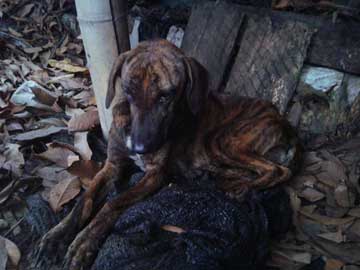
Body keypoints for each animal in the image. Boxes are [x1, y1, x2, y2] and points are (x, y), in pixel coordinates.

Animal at [35, 39, 300, 268]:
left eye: (166, 96)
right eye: (128, 91)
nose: (139, 148)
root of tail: (284, 122)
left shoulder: (155, 175)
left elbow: (114, 204)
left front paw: (84, 243)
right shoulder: (113, 165)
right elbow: (86, 198)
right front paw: (57, 236)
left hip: (223, 141)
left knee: (278, 170)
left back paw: (238, 187)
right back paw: (227, 183)